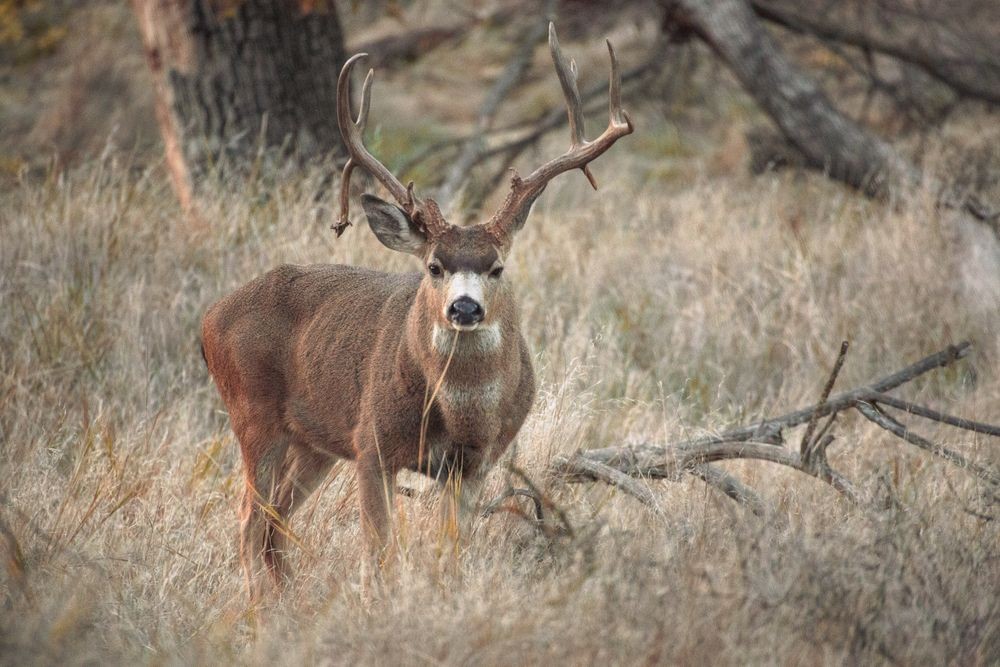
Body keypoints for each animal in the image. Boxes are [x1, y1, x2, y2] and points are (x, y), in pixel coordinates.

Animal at [201, 23, 633, 602]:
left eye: (497, 267)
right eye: (433, 265)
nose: (464, 306)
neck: (460, 412)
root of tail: (209, 320)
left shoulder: (475, 465)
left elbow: (451, 554)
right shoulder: (372, 444)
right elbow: (378, 553)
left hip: (314, 439)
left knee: (274, 522)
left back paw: (285, 598)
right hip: (253, 415)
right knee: (249, 519)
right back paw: (258, 609)